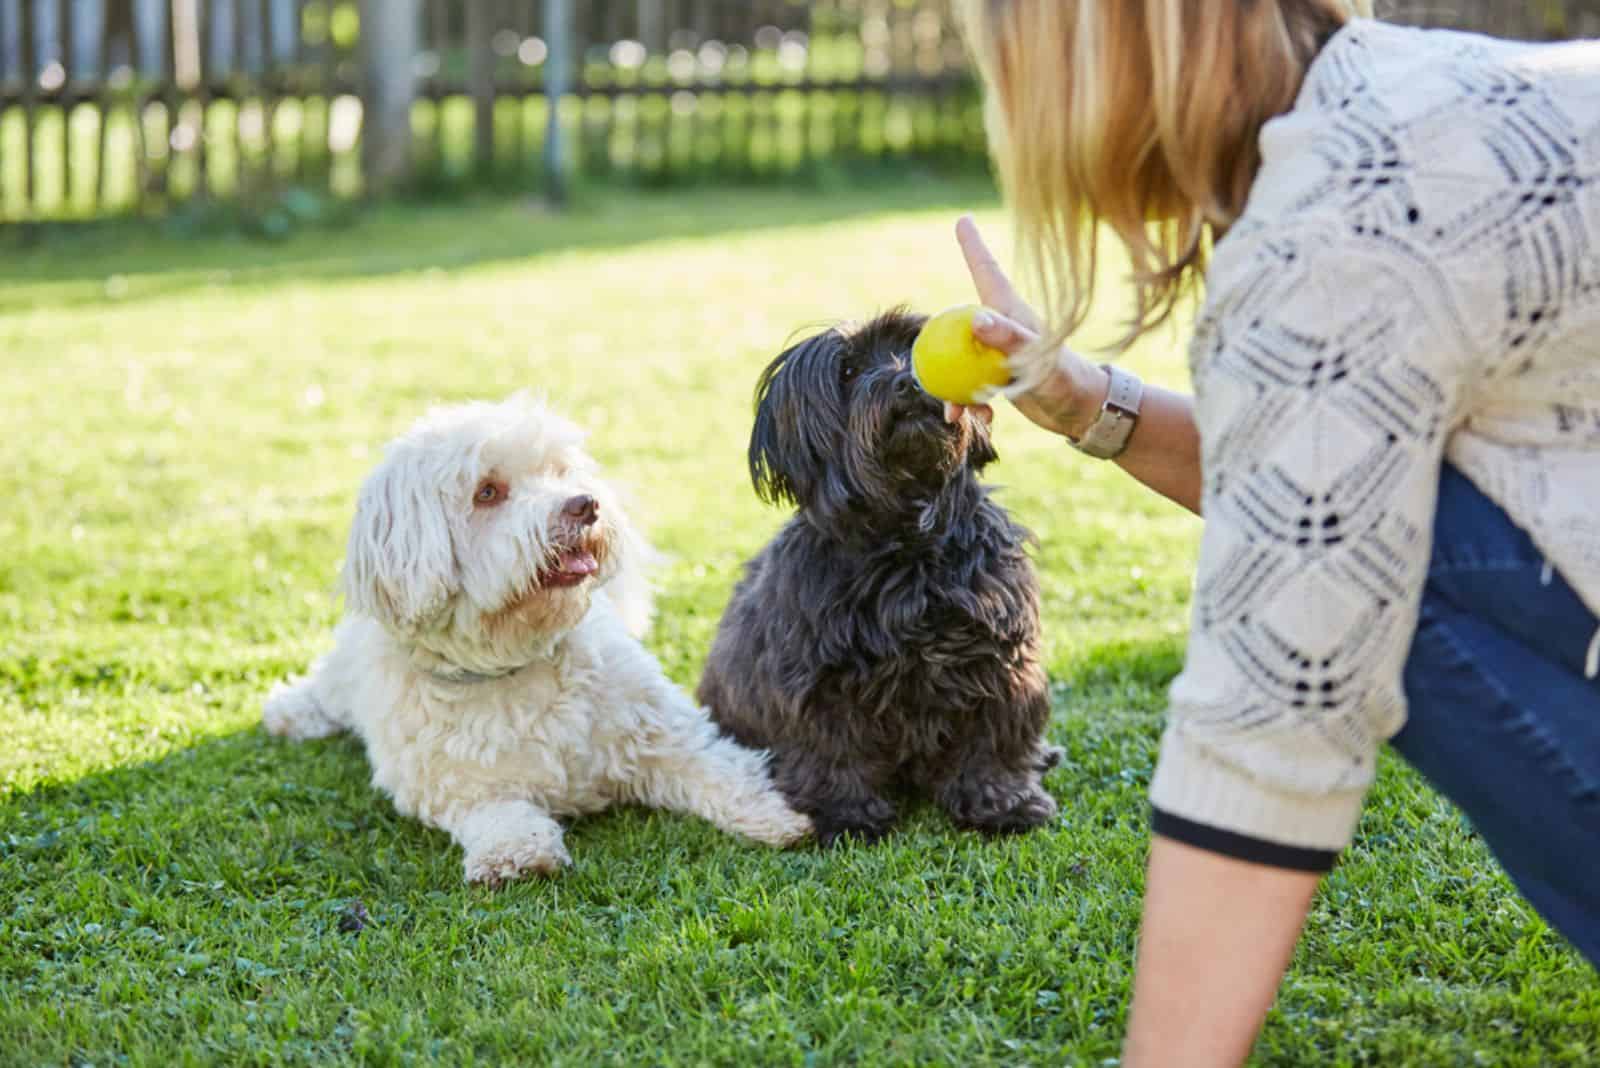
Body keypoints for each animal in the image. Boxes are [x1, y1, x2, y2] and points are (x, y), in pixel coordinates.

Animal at [267, 396, 812, 882]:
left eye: (559, 471)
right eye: (487, 492)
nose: (585, 504)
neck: (516, 657)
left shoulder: (662, 732)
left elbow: (718, 767)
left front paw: (776, 815)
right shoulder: (452, 786)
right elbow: (498, 812)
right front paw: (517, 854)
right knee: (327, 688)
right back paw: (290, 712)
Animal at [700, 308, 1062, 844]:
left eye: (910, 348)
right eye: (848, 371)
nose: (908, 382)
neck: (906, 543)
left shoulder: (998, 661)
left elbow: (992, 739)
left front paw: (1001, 803)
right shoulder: (818, 680)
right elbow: (829, 751)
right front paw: (845, 815)